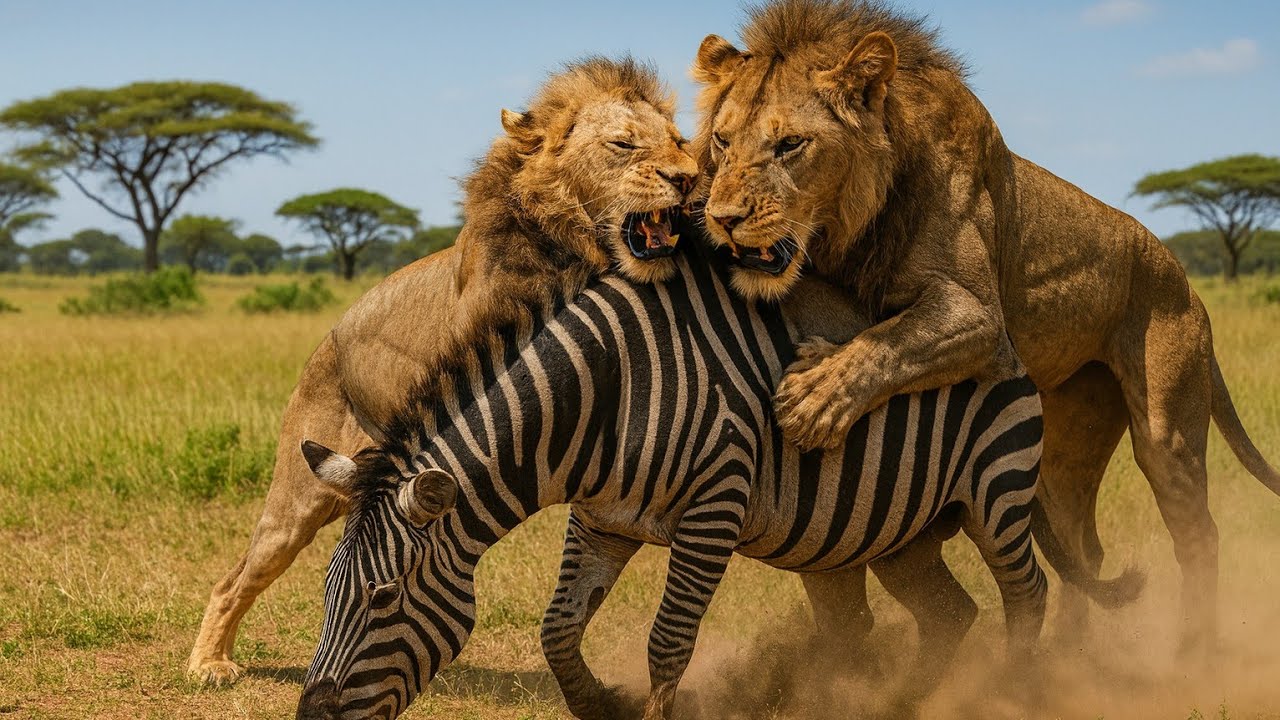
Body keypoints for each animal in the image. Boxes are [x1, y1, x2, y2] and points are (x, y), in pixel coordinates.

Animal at [187, 57, 699, 683]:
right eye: (622, 144)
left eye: (680, 142)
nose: (688, 178)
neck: (573, 251)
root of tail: (321, 347)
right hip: (299, 497)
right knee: (235, 577)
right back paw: (208, 662)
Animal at [295, 240, 1141, 720]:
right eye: (327, 594)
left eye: (381, 599)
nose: (311, 717)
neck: (605, 393)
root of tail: (1003, 341)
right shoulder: (602, 519)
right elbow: (558, 631)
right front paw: (603, 705)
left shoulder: (714, 506)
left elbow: (669, 643)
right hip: (905, 532)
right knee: (951, 613)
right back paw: (901, 703)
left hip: (996, 492)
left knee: (1026, 593)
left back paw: (1012, 691)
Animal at [692, 0, 1280, 653]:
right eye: (722, 140)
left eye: (791, 144)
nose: (722, 217)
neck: (846, 230)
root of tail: (1188, 283)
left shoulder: (979, 316)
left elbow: (887, 342)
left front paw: (813, 399)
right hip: (1067, 441)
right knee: (1082, 543)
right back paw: (1070, 650)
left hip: (1165, 429)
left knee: (1197, 531)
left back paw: (1191, 649)